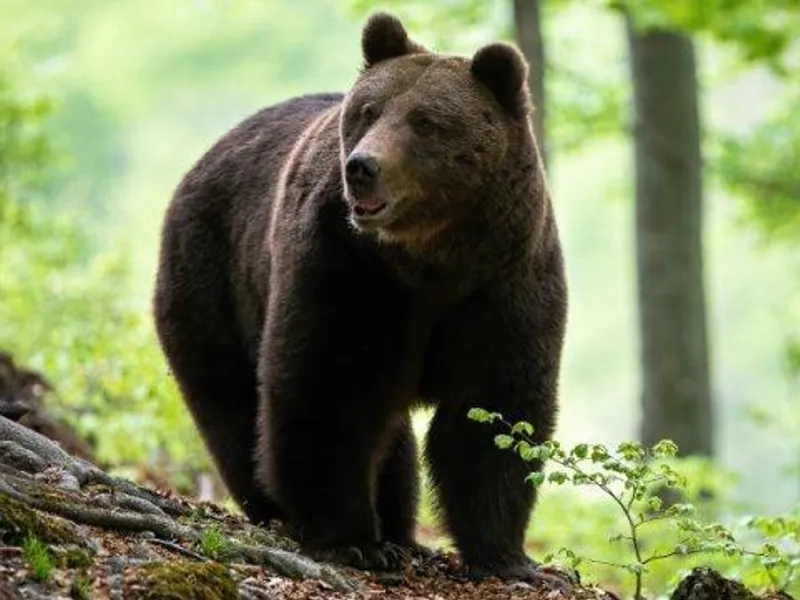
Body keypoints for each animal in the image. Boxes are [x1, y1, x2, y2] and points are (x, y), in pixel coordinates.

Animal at [155, 10, 568, 580]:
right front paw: (349, 539)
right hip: (211, 275)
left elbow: (494, 409)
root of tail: (204, 158)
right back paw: (284, 510)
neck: (432, 260)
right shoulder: (347, 271)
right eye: (369, 110)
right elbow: (328, 385)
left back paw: (397, 530)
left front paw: (506, 557)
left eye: (425, 122)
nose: (362, 166)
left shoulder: (505, 282)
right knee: (231, 402)